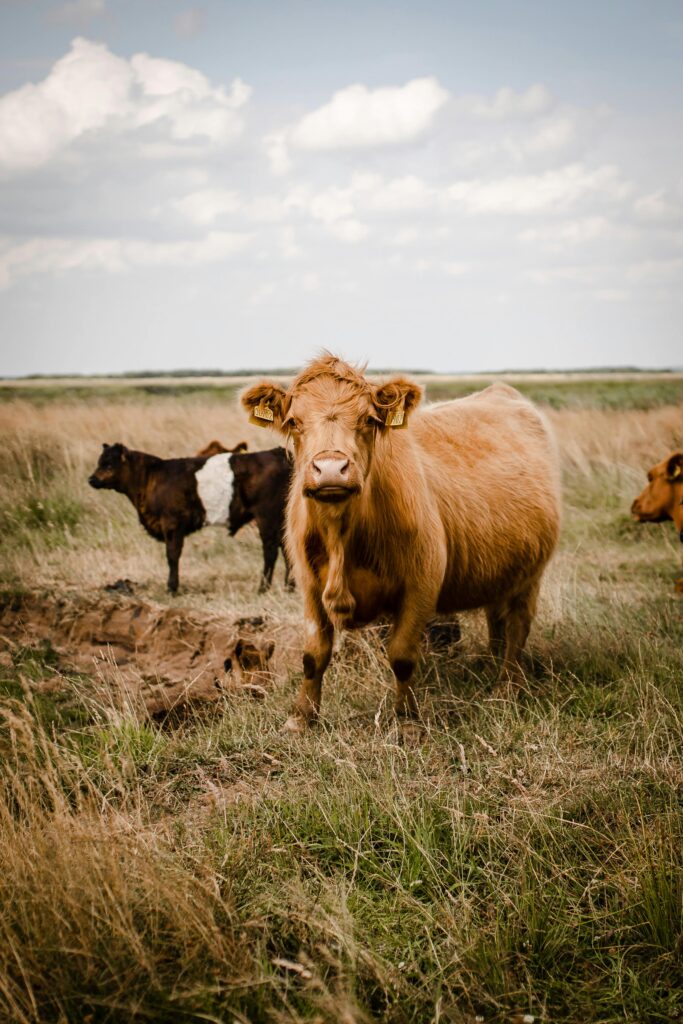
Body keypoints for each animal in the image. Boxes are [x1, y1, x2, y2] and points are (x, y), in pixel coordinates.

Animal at [87, 443, 290, 594]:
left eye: (109, 464)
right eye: (100, 461)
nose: (91, 479)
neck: (150, 478)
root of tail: (277, 452)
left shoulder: (172, 523)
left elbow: (172, 555)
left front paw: (172, 588)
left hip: (266, 516)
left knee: (270, 551)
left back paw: (263, 588)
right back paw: (290, 585)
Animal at [241, 354, 562, 734]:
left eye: (368, 419)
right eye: (293, 421)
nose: (331, 469)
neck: (342, 537)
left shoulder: (421, 584)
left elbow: (402, 656)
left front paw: (407, 720)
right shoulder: (308, 585)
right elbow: (313, 654)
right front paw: (300, 718)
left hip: (531, 574)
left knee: (517, 625)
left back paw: (507, 687)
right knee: (497, 619)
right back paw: (490, 665)